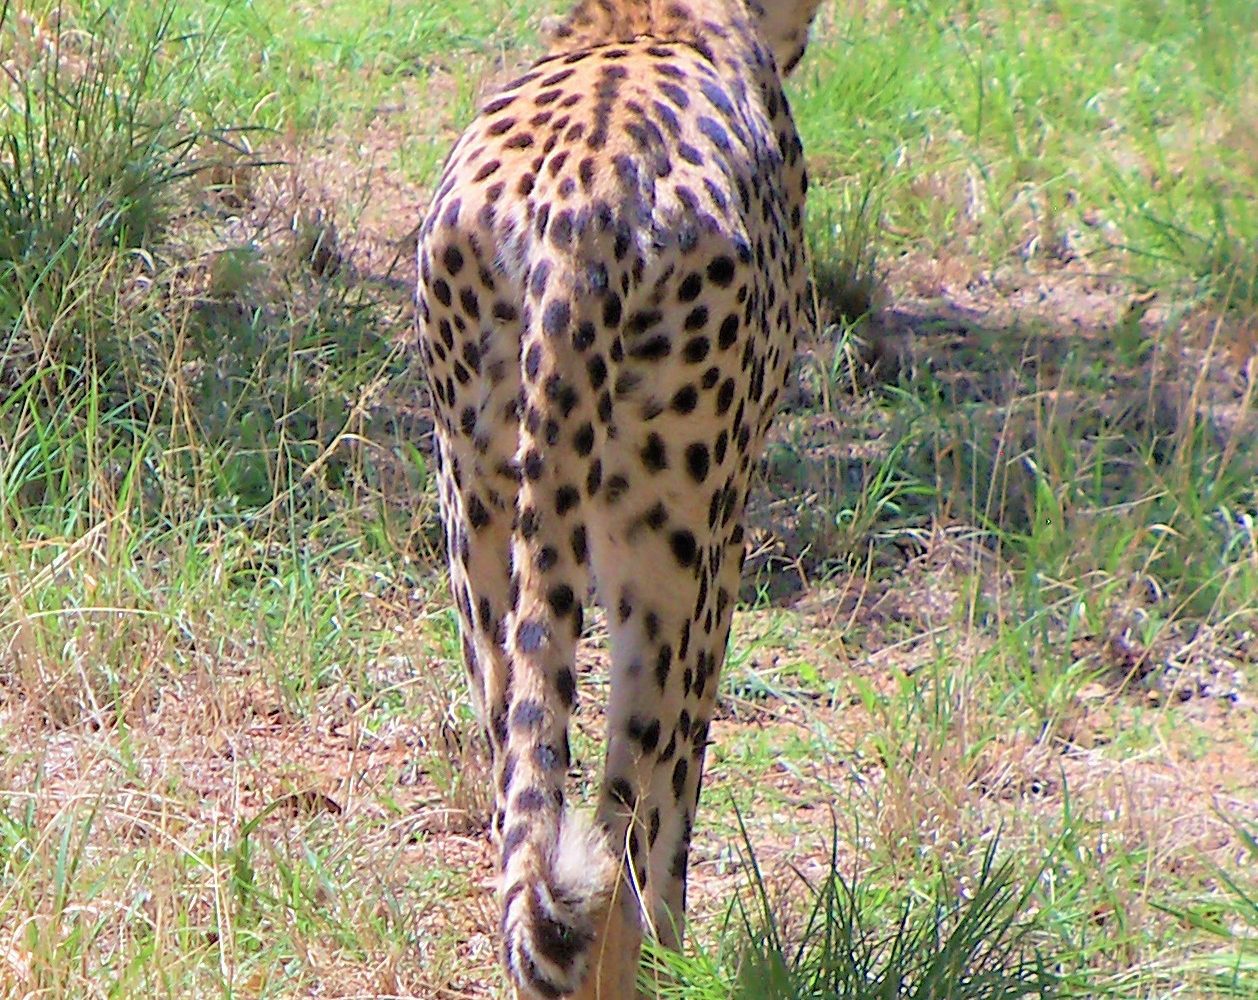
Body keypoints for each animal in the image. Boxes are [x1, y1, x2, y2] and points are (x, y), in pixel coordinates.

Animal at [417, 3, 820, 996]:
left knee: (519, 774)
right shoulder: (724, 545)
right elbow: (677, 789)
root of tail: (580, 201)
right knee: (629, 809)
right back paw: (637, 963)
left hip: (479, 518)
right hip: (668, 546)